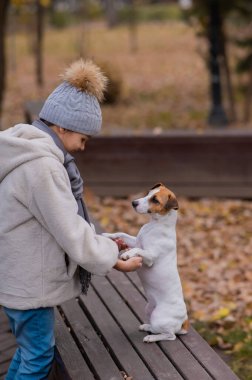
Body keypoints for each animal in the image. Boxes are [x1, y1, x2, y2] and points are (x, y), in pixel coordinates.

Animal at [103, 183, 189, 342]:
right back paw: (147, 327)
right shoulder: (135, 240)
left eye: (155, 200)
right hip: (149, 309)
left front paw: (127, 254)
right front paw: (108, 235)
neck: (155, 226)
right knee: (157, 328)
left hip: (159, 317)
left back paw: (152, 338)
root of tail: (184, 321)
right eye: (148, 193)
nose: (133, 202)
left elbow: (139, 250)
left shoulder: (150, 257)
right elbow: (122, 234)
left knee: (170, 335)